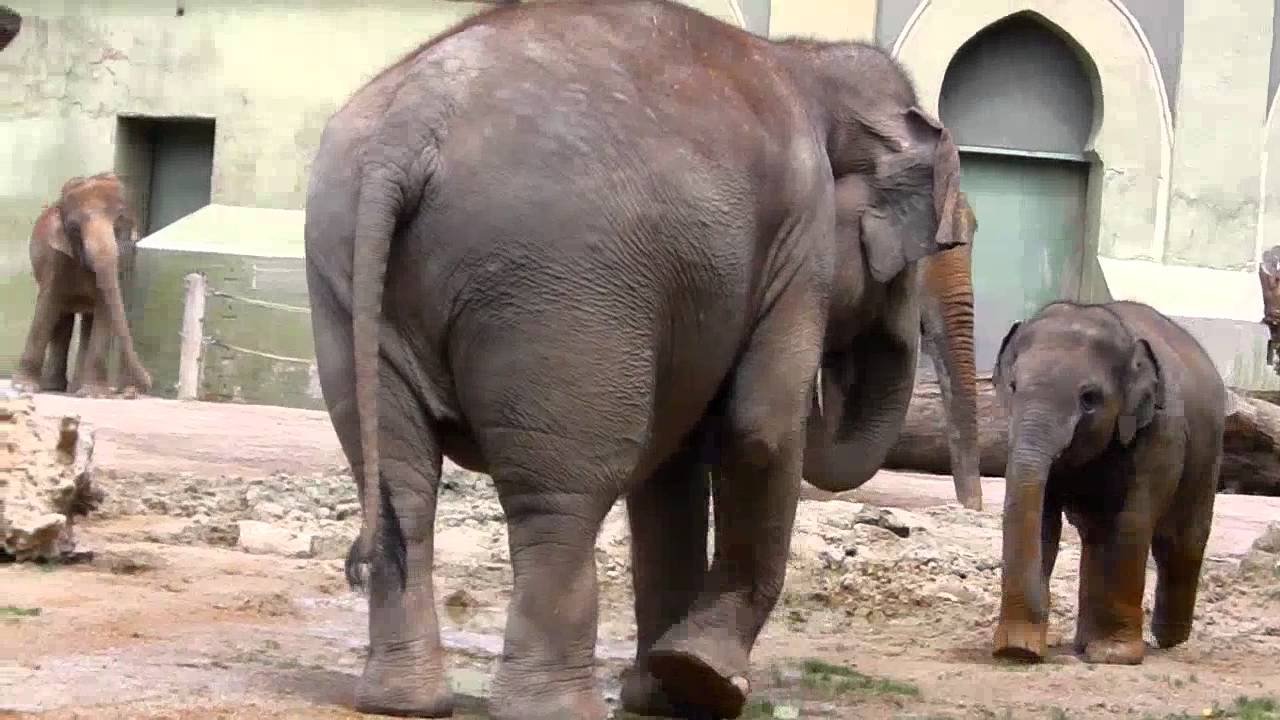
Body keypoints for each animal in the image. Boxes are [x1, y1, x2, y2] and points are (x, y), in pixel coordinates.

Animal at [14, 172, 152, 398]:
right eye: (74, 228)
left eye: (119, 225)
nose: (144, 385)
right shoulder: (55, 257)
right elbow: (47, 305)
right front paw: (22, 388)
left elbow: (104, 311)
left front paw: (94, 394)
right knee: (61, 319)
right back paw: (54, 386)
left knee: (86, 320)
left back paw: (75, 388)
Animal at [304, 1, 968, 718]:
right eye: (934, 245)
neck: (806, 58)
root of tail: (411, 122)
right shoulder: (801, 239)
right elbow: (759, 430)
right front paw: (703, 681)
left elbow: (672, 474)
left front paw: (661, 694)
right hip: (557, 284)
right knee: (561, 495)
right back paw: (551, 707)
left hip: (346, 271)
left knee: (400, 476)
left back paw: (402, 700)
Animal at [990, 300, 1224, 666]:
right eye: (1012, 386)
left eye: (1089, 398)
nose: (1017, 651)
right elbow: (1042, 520)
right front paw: (1020, 649)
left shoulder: (1162, 432)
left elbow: (1132, 521)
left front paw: (1114, 657)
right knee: (1097, 536)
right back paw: (1085, 645)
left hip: (1209, 450)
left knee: (1180, 540)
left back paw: (1168, 640)